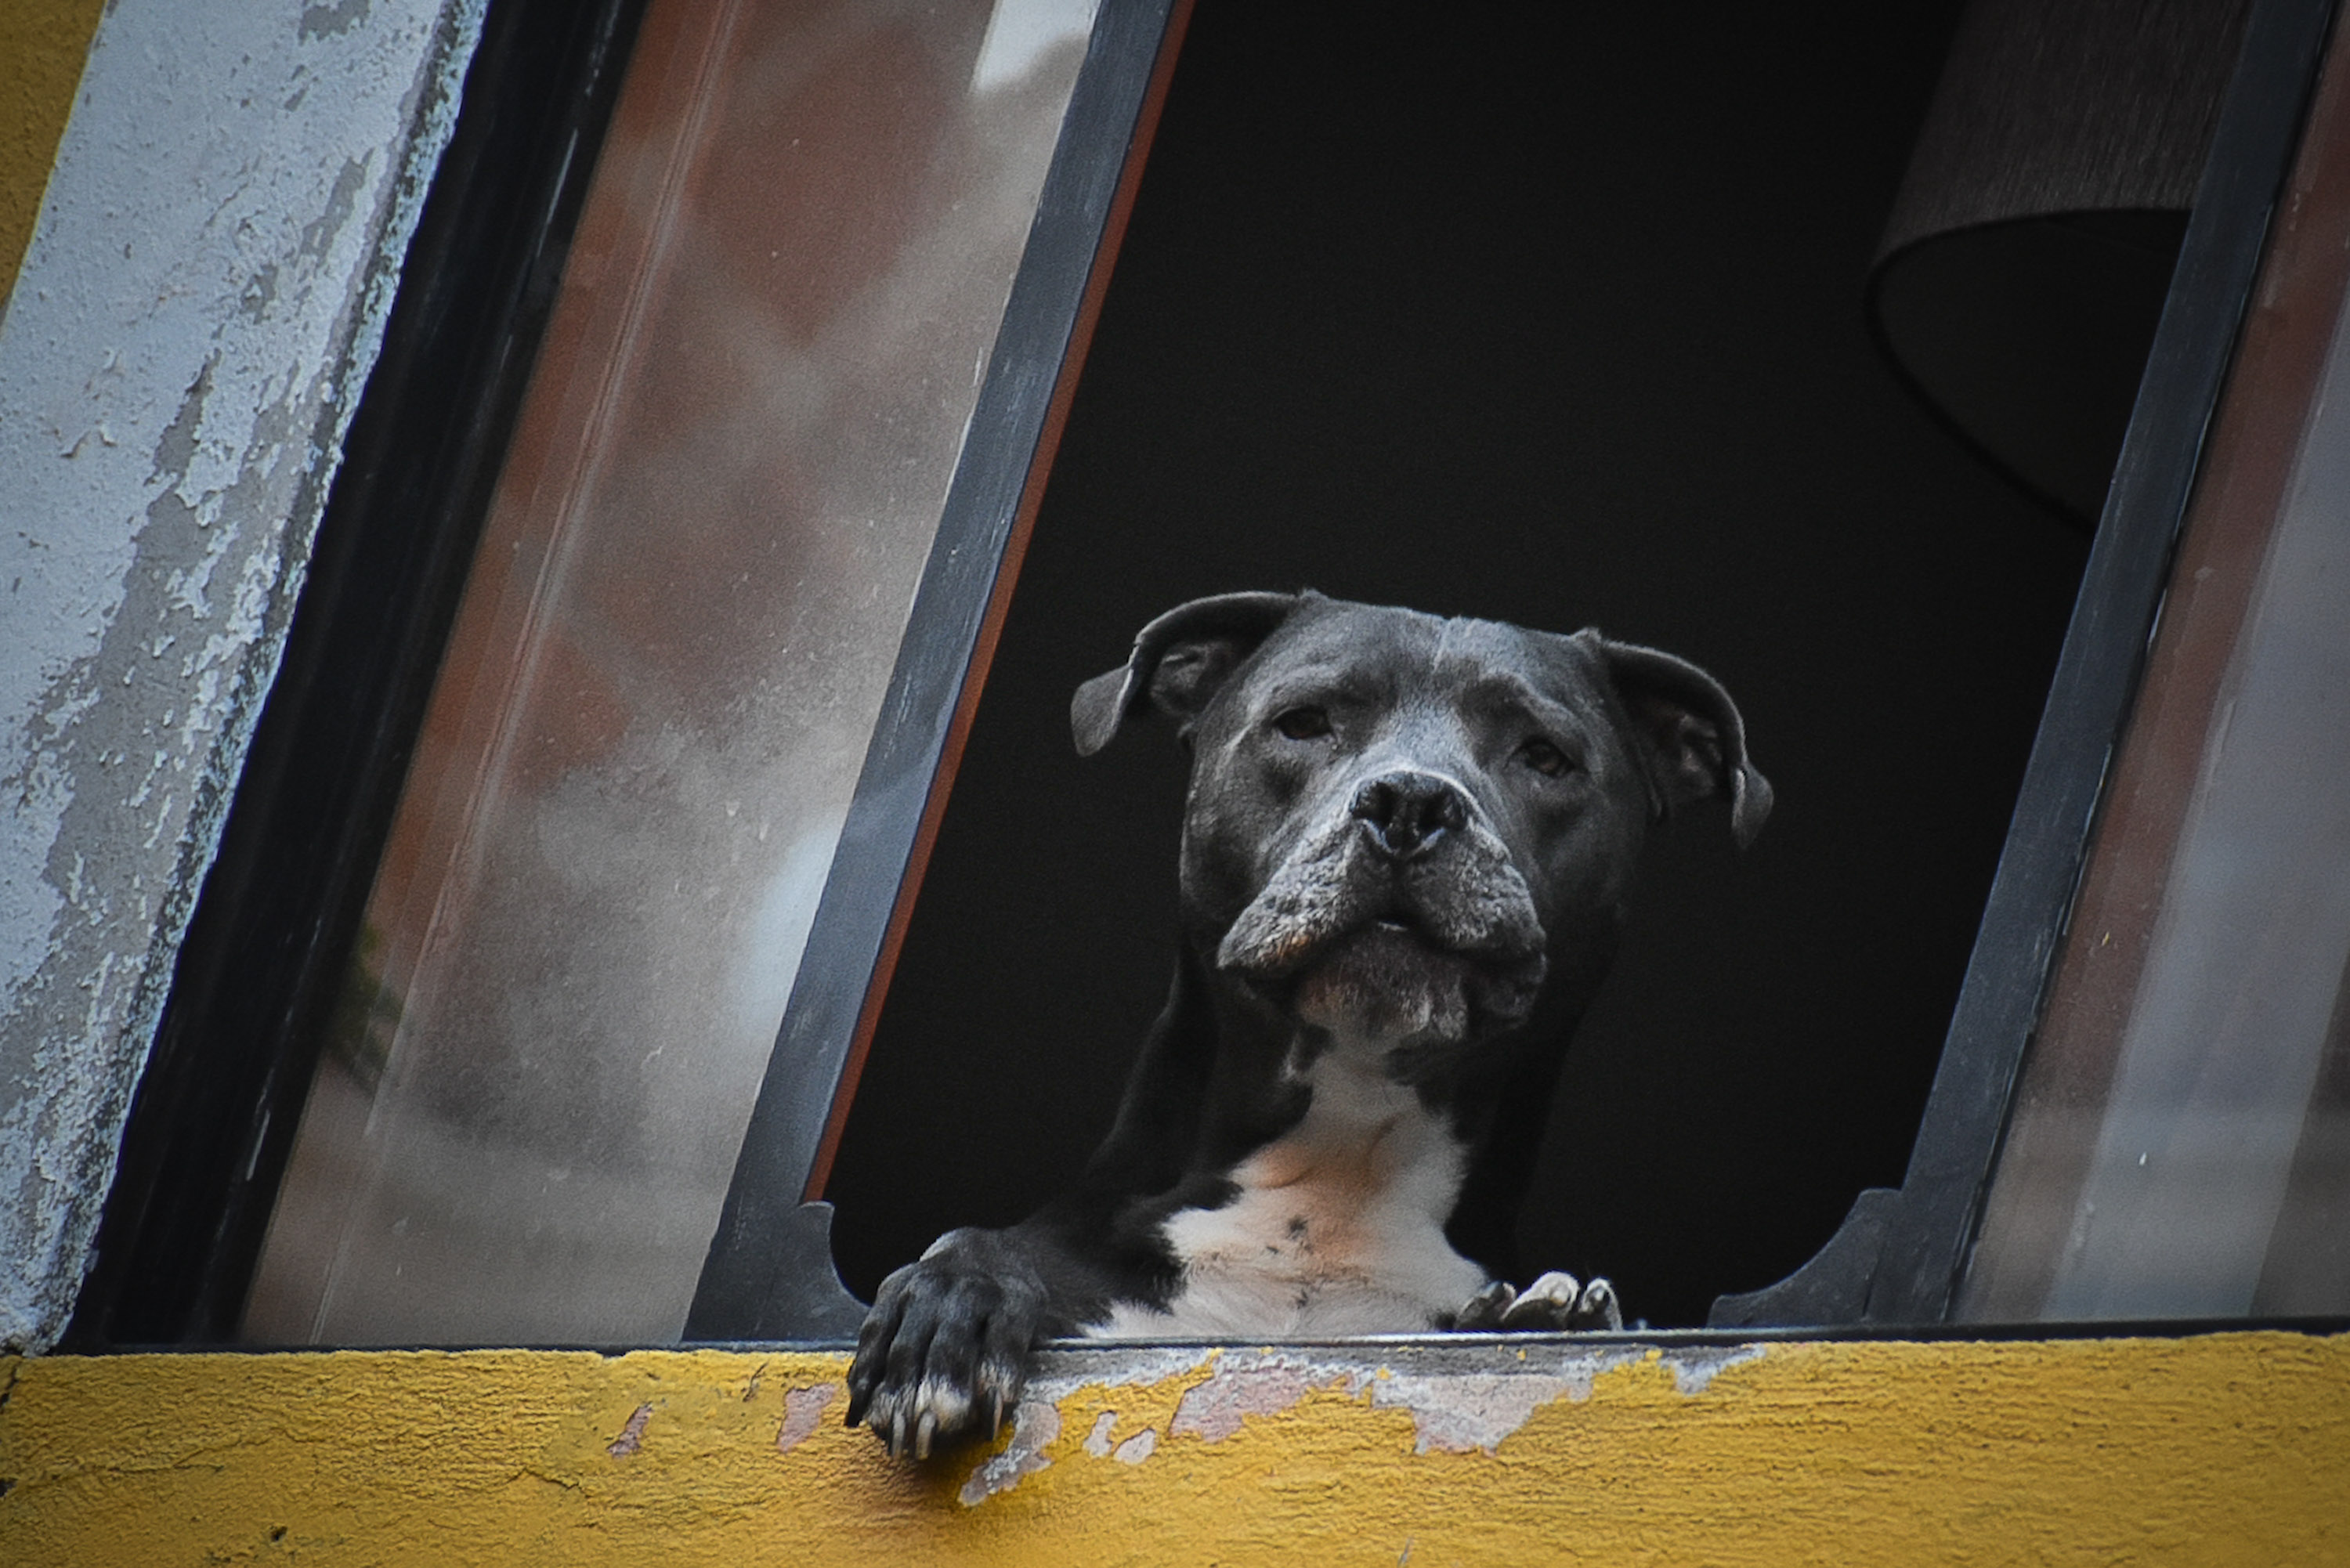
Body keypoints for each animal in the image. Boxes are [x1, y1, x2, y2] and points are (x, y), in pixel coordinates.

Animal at [846, 592, 1767, 1457]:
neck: (1331, 1181)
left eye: (1545, 755)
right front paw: (952, 1305)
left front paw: (1556, 1315)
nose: (1411, 800)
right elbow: (973, 1245)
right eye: (1303, 722)